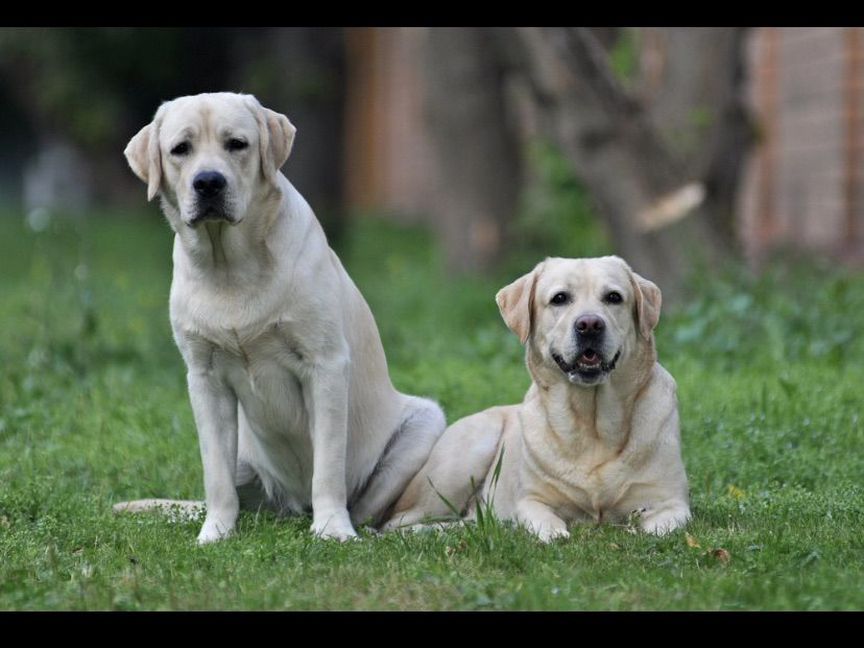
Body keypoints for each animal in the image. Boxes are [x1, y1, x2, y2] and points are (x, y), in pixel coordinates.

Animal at [118, 93, 446, 544]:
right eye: (180, 149)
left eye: (237, 144)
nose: (209, 182)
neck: (230, 268)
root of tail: (291, 504)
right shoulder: (204, 378)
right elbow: (215, 473)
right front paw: (215, 532)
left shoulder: (325, 364)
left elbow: (328, 464)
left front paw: (332, 528)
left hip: (425, 421)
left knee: (367, 507)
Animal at [384, 256, 688, 540]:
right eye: (559, 298)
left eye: (614, 297)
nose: (590, 324)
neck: (592, 424)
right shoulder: (531, 501)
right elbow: (545, 521)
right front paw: (556, 534)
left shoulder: (673, 503)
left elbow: (660, 527)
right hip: (462, 460)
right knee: (396, 523)